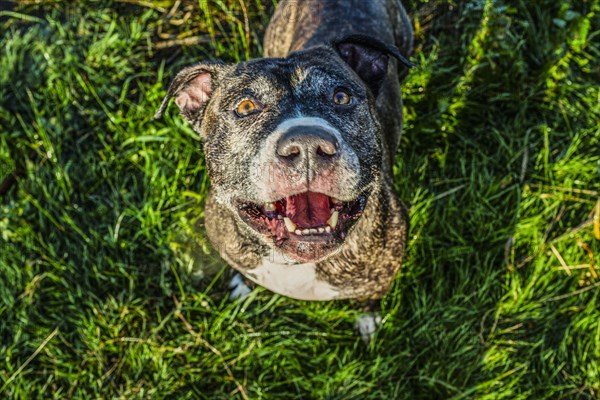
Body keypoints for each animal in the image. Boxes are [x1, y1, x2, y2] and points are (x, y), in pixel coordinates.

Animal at [156, 0, 412, 324]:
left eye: (341, 97)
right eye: (245, 107)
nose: (307, 144)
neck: (295, 261)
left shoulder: (382, 273)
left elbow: (369, 298)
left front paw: (368, 319)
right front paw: (244, 286)